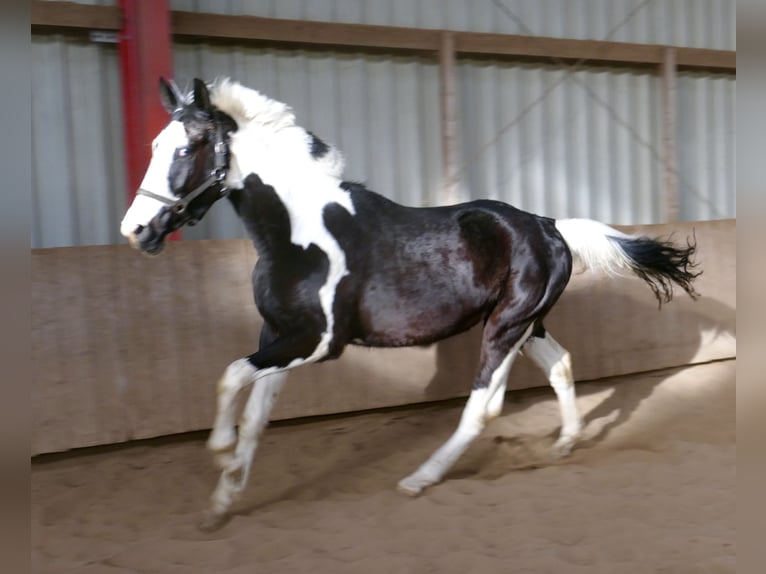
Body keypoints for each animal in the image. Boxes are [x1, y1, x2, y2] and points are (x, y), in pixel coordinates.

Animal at [120, 77, 700, 531]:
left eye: (187, 147)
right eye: (154, 144)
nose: (136, 231)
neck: (296, 235)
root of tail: (547, 224)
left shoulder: (318, 341)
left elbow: (231, 375)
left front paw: (217, 448)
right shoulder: (278, 338)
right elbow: (256, 414)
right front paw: (221, 503)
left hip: (505, 327)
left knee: (483, 405)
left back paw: (419, 478)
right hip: (526, 325)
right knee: (560, 365)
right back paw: (562, 446)